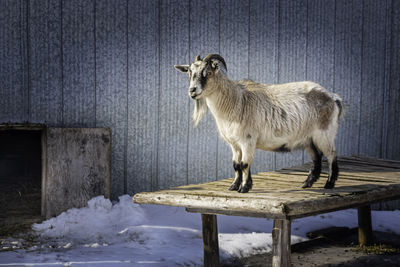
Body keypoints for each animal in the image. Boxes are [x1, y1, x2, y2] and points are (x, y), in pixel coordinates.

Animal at [173, 54, 342, 194]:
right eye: (189, 73)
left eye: (207, 73)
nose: (192, 90)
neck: (235, 101)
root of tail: (333, 97)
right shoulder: (234, 143)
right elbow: (236, 164)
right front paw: (234, 186)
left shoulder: (247, 139)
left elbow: (244, 164)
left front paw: (244, 188)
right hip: (309, 139)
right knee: (317, 158)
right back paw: (307, 183)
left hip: (325, 133)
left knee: (331, 154)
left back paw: (329, 184)